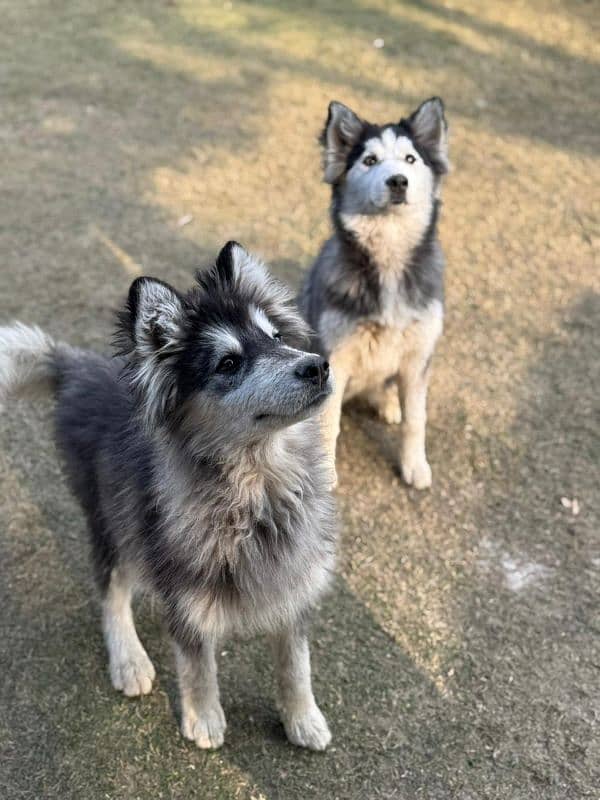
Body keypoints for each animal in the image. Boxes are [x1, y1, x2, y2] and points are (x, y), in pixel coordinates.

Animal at [0, 242, 338, 752]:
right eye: (228, 364)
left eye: (277, 337)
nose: (318, 367)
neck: (256, 487)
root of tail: (79, 368)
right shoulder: (183, 588)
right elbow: (197, 662)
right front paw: (204, 718)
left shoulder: (292, 580)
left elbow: (296, 663)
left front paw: (303, 718)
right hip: (114, 519)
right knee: (111, 589)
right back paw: (129, 660)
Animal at [300, 97, 450, 490]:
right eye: (369, 160)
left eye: (411, 159)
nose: (398, 181)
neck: (389, 259)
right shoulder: (334, 357)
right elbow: (329, 424)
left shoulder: (417, 357)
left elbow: (417, 420)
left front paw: (414, 465)